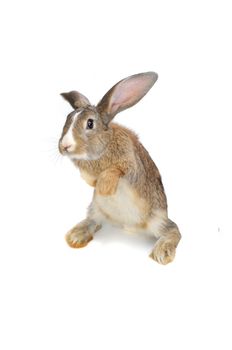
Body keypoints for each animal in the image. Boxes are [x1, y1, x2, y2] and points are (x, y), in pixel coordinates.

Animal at [58, 72, 181, 262]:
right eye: (67, 119)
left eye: (90, 123)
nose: (64, 146)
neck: (103, 146)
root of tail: (128, 227)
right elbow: (90, 178)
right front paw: (96, 184)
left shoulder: (130, 163)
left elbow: (115, 170)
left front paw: (104, 187)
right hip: (96, 209)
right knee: (94, 221)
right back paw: (76, 236)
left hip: (158, 220)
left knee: (173, 231)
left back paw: (162, 253)